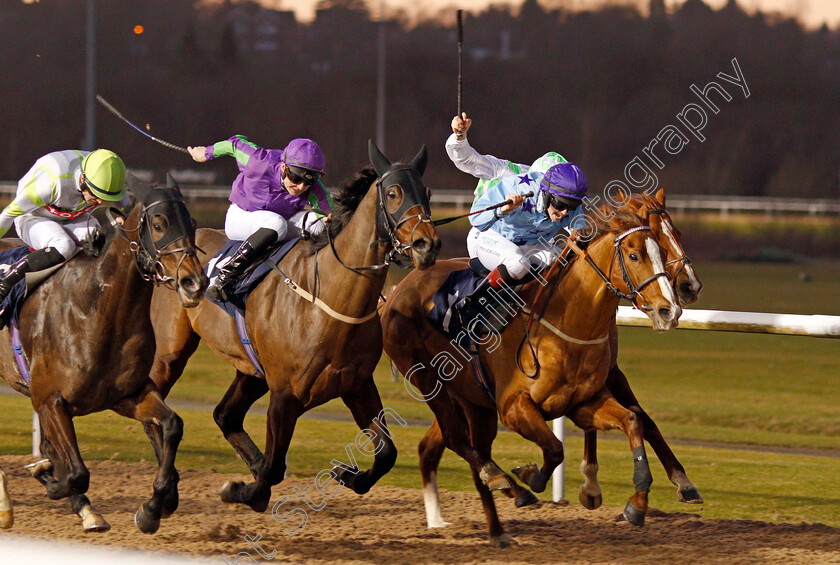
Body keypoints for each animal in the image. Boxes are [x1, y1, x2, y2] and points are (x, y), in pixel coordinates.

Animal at [0, 174, 207, 532]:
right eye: (158, 223)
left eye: (193, 223)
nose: (194, 282)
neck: (97, 309)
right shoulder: (50, 400)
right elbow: (75, 473)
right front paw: (49, 476)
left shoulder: (128, 395)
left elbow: (172, 424)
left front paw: (153, 507)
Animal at [149, 140, 440, 512]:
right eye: (392, 193)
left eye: (427, 192)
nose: (426, 244)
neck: (325, 301)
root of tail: (174, 251)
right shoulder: (285, 396)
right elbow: (272, 469)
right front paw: (239, 490)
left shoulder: (357, 385)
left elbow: (387, 453)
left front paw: (347, 475)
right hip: (169, 353)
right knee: (155, 409)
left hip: (252, 371)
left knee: (225, 415)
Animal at [382, 209, 684, 544]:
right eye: (634, 255)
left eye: (662, 250)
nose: (669, 309)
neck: (565, 321)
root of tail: (398, 291)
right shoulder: (513, 407)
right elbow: (554, 448)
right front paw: (532, 477)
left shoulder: (584, 402)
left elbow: (633, 421)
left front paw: (638, 502)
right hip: (429, 382)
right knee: (457, 439)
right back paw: (504, 486)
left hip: (473, 402)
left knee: (460, 449)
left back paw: (494, 527)